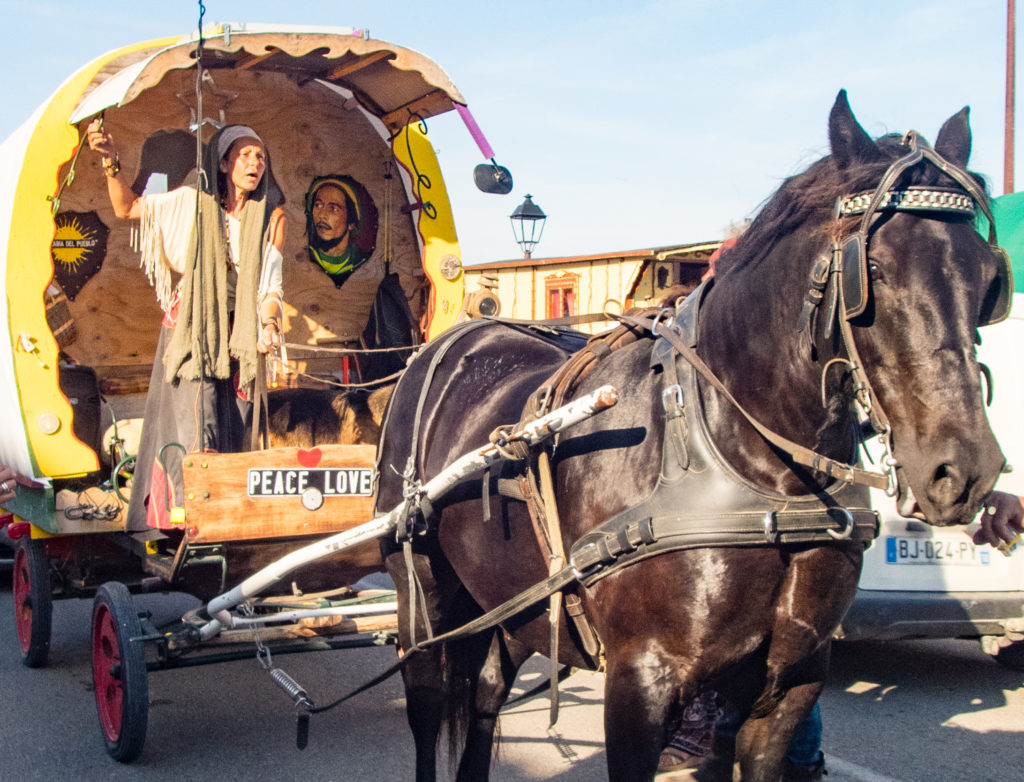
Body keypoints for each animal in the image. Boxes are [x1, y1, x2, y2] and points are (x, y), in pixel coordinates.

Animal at [372, 93, 1003, 781]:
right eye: (877, 270)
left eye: (987, 278)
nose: (964, 469)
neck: (759, 476)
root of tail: (456, 340)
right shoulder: (640, 682)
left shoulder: (791, 682)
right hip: (421, 591)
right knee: (430, 702)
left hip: (514, 597)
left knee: (487, 691)